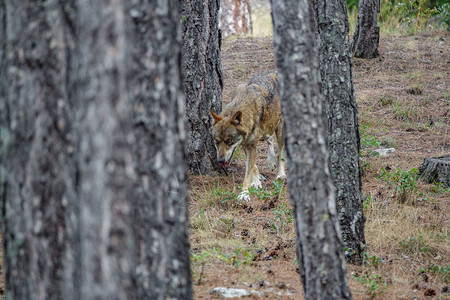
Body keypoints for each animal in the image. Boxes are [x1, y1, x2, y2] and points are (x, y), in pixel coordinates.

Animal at [210, 71, 284, 200]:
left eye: (229, 141)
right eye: (216, 141)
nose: (220, 160)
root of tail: (274, 72)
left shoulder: (250, 146)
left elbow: (248, 172)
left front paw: (244, 193)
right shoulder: (245, 145)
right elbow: (253, 167)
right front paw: (256, 181)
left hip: (279, 129)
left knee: (280, 152)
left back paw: (281, 173)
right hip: (266, 130)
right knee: (269, 139)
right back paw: (271, 161)